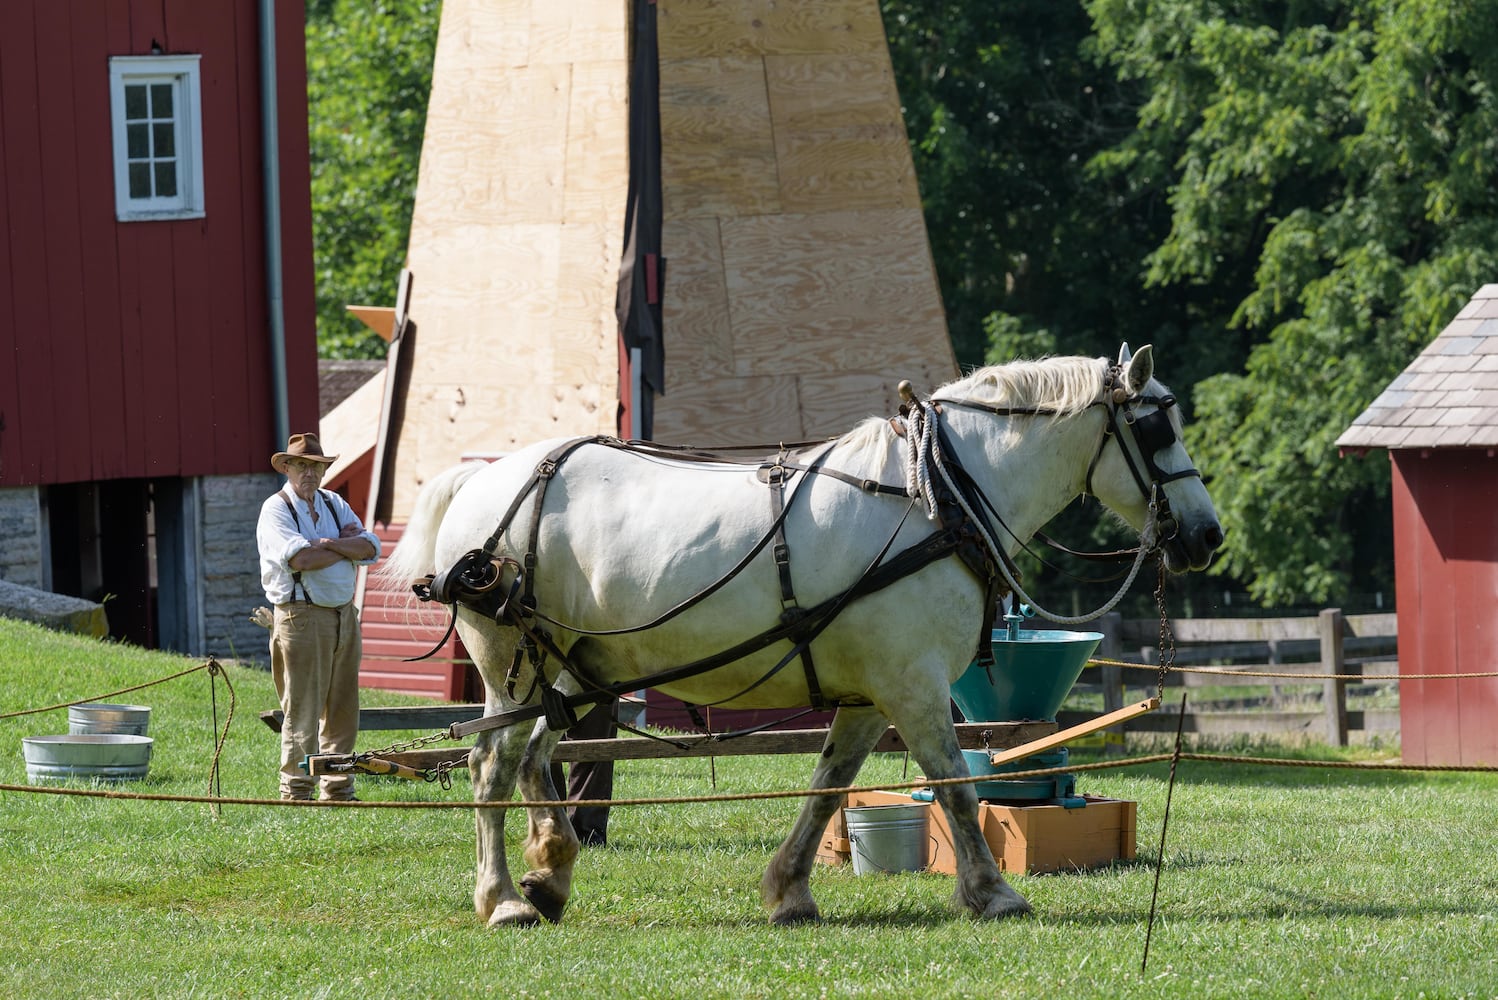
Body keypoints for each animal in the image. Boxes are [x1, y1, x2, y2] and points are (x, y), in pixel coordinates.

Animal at [380, 345, 1222, 928]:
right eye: (1156, 426)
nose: (1207, 534)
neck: (934, 498)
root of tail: (485, 477)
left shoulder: (870, 695)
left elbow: (827, 787)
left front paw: (789, 891)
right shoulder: (914, 685)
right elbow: (955, 783)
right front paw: (994, 893)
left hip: (574, 667)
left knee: (536, 757)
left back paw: (550, 873)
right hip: (510, 667)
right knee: (493, 764)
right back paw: (503, 899)